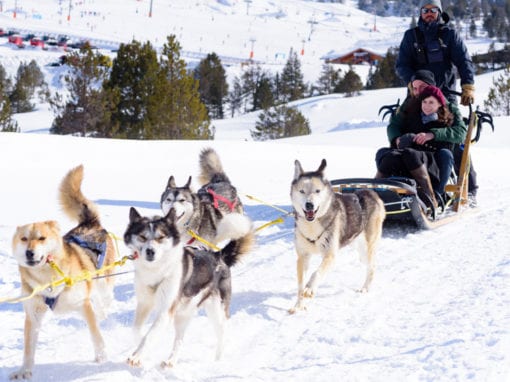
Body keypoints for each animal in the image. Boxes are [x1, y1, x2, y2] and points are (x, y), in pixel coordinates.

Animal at [122, 207, 253, 368]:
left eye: (161, 237)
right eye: (142, 237)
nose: (150, 251)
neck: (156, 271)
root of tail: (219, 255)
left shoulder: (165, 310)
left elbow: (150, 335)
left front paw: (137, 356)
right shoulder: (144, 303)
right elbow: (137, 330)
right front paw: (142, 346)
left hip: (217, 312)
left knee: (222, 335)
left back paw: (217, 361)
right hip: (183, 314)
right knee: (179, 340)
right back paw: (171, 360)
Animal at [288, 159, 384, 314]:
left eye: (317, 191)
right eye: (302, 191)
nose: (309, 205)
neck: (312, 225)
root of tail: (370, 192)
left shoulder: (330, 255)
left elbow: (316, 273)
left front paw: (310, 289)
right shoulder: (303, 257)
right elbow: (300, 286)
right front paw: (298, 305)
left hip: (368, 249)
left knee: (372, 267)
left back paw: (365, 288)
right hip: (360, 252)